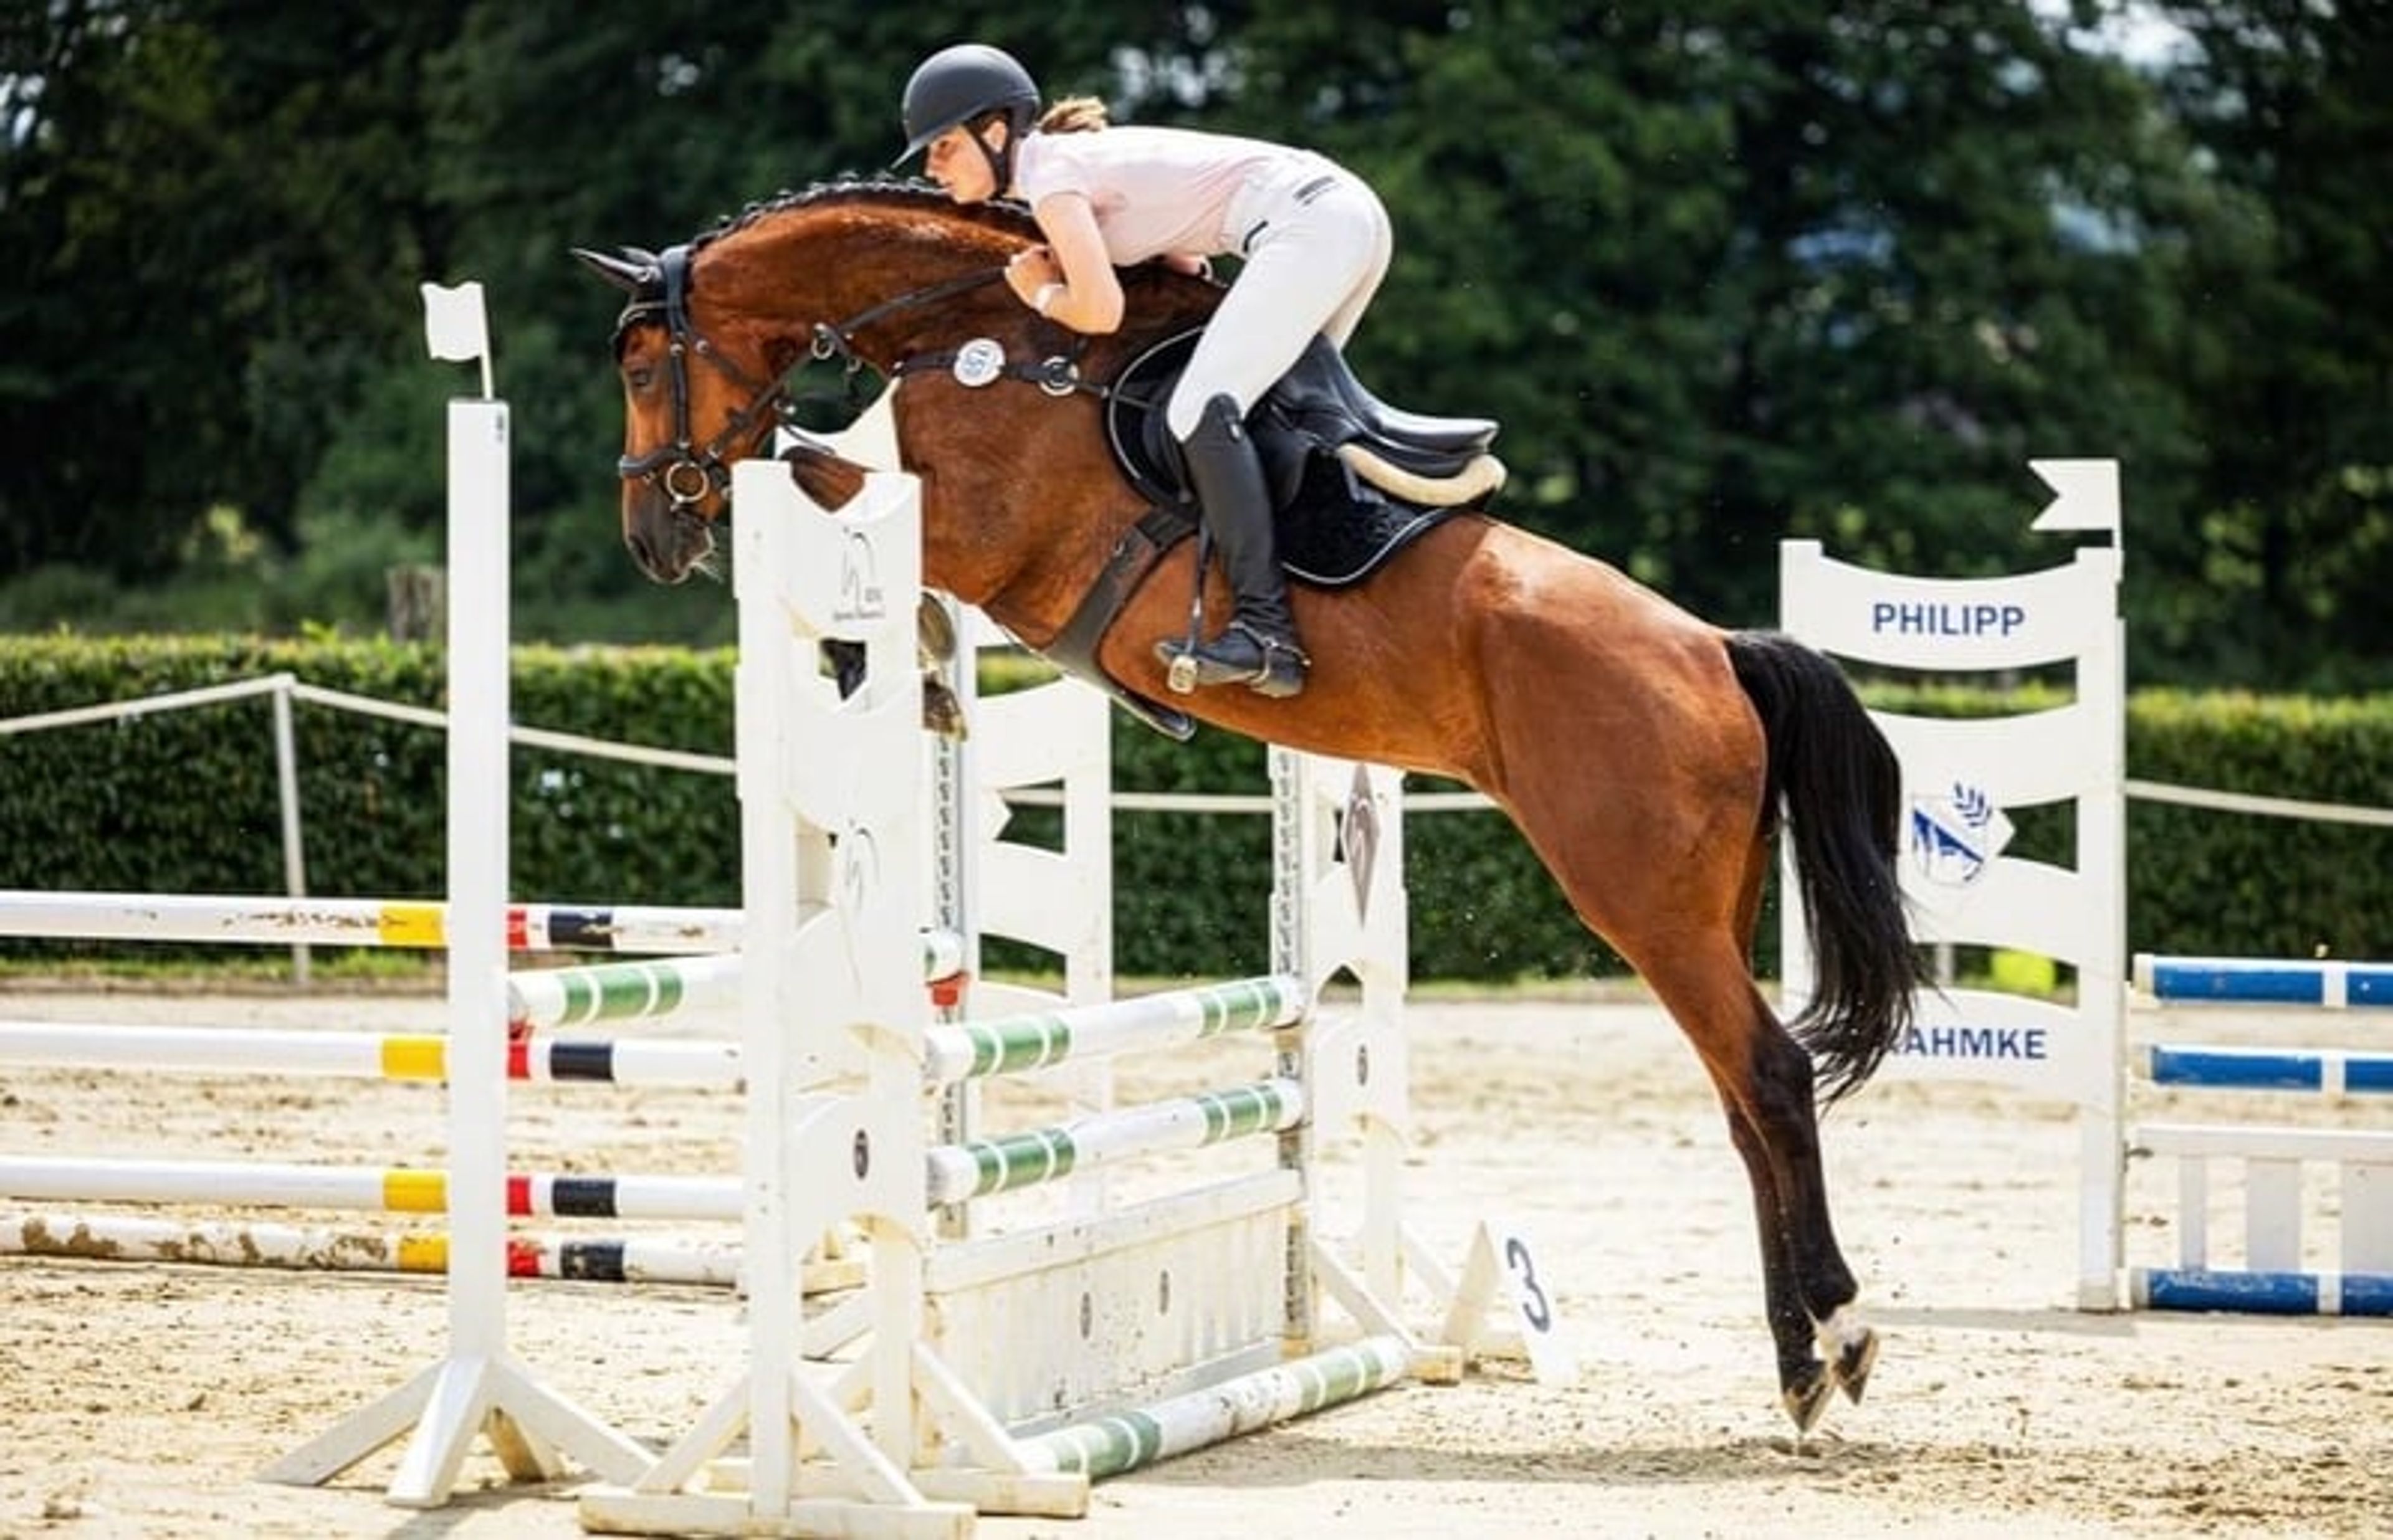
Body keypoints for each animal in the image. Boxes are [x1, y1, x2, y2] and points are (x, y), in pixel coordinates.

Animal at [575, 177, 1925, 1435]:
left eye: (641, 366)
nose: (649, 536)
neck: (986, 332)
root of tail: (1719, 651)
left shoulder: (982, 534)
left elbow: (816, 466)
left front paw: (914, 654)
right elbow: (823, 474)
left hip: (1641, 902)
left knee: (1770, 1076)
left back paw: (1840, 1335)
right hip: (1702, 906)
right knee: (1743, 1098)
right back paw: (1798, 1360)